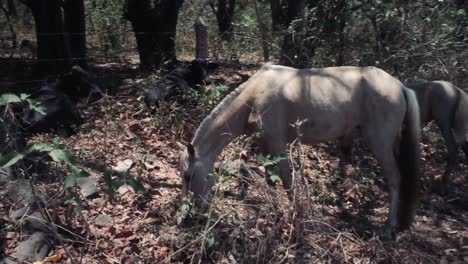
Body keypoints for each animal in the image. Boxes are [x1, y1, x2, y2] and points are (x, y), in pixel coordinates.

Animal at [179, 63, 420, 239]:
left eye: (189, 177)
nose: (190, 215)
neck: (253, 96)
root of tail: (400, 86)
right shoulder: (266, 147)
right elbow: (270, 179)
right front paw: (274, 210)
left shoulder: (277, 145)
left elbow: (287, 180)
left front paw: (297, 215)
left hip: (380, 144)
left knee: (395, 181)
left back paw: (389, 228)